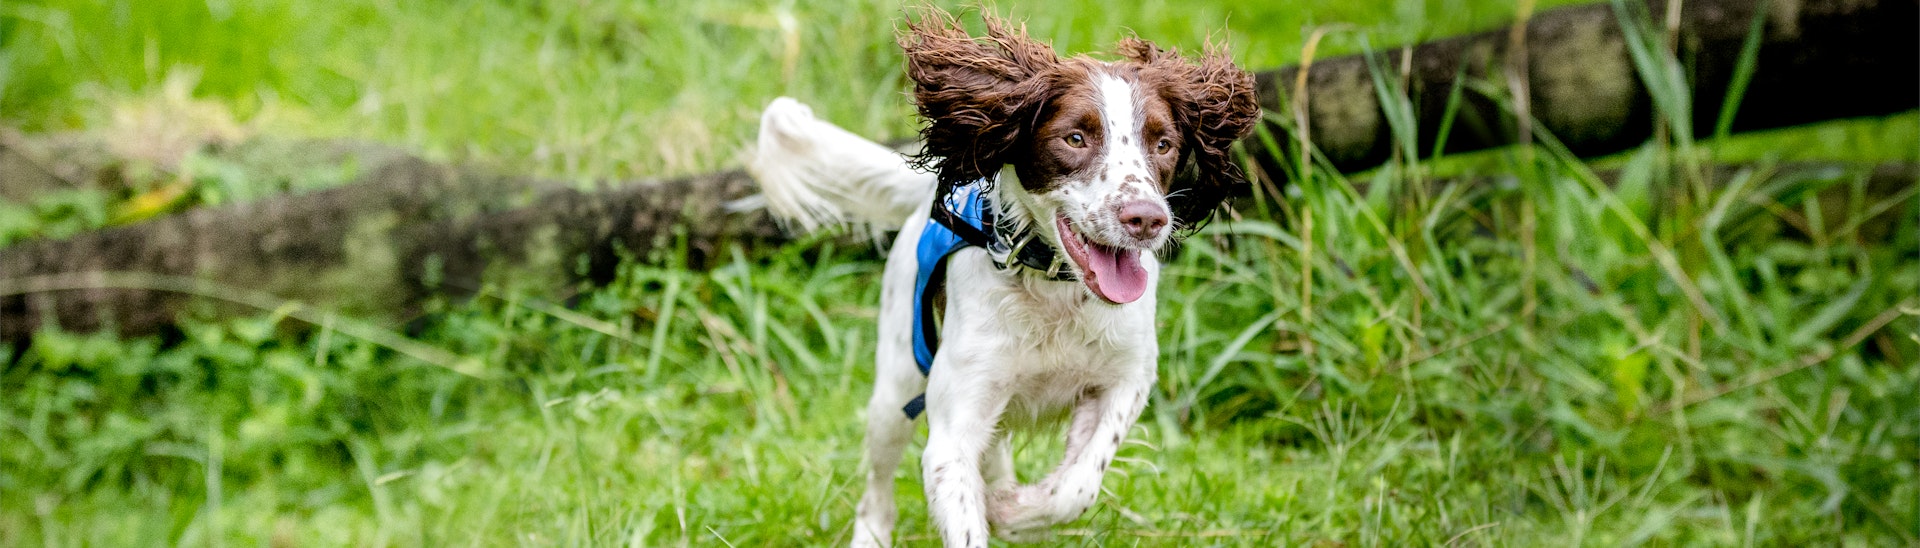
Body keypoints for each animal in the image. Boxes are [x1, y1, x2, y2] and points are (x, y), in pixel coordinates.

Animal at [748, 10, 1259, 542]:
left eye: (1163, 144)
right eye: (1075, 138)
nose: (1147, 219)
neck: (1055, 290)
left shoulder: (1127, 377)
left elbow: (1076, 485)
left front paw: (1014, 511)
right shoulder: (953, 431)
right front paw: (1004, 510)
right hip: (895, 390)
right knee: (878, 488)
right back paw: (873, 534)